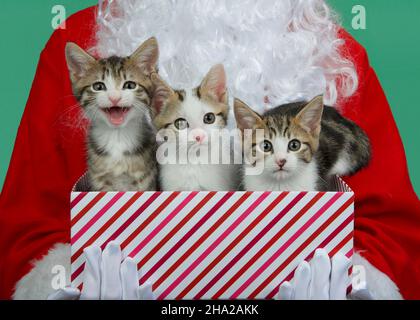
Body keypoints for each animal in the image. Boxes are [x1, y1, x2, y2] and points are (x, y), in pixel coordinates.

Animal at [66, 38, 160, 191]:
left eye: (130, 85)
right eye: (98, 86)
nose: (114, 98)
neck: (117, 137)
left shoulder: (146, 181)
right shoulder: (100, 181)